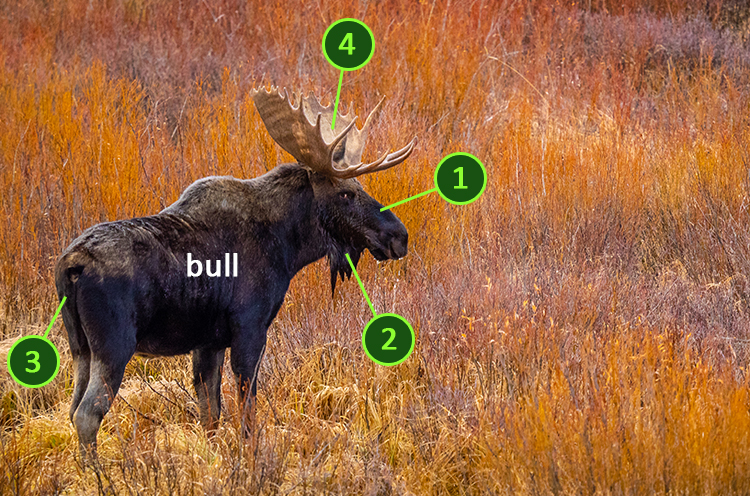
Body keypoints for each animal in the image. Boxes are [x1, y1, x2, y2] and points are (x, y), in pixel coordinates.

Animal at [54, 86, 416, 456]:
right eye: (345, 193)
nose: (398, 236)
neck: (288, 246)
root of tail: (71, 266)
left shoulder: (208, 342)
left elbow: (210, 414)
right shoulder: (250, 327)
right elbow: (246, 412)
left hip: (80, 348)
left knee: (72, 408)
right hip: (113, 346)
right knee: (88, 413)